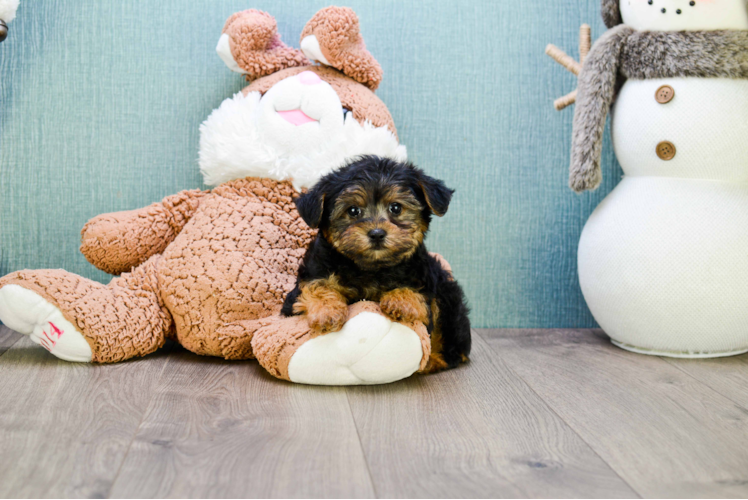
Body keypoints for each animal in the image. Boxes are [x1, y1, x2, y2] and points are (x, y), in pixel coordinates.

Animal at [284, 155, 470, 372]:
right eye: (353, 211)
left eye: (396, 208)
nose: (377, 233)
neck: (371, 268)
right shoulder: (310, 276)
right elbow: (315, 286)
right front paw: (327, 311)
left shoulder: (424, 279)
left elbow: (419, 297)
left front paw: (401, 300)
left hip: (447, 296)